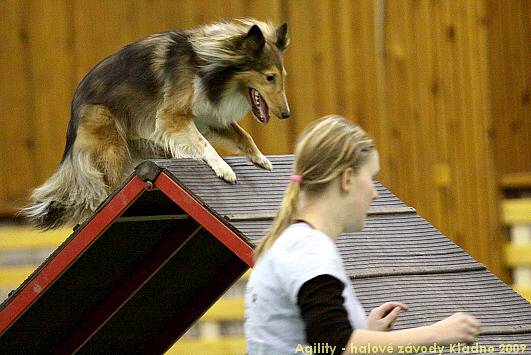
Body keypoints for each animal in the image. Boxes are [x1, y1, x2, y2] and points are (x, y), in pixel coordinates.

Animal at [21, 18, 290, 231]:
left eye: (282, 77)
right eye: (270, 77)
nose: (286, 114)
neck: (208, 66)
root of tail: (73, 113)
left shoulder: (208, 115)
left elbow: (243, 135)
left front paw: (260, 159)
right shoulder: (173, 116)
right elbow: (204, 144)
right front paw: (223, 168)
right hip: (112, 146)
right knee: (110, 190)